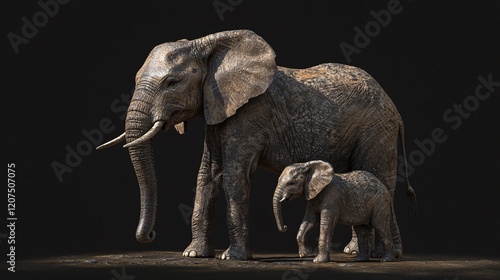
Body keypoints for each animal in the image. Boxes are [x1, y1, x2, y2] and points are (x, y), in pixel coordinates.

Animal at [96, 29, 414, 260]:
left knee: (379, 178)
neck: (210, 48)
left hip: (377, 130)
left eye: (172, 83)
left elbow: (234, 177)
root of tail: (396, 111)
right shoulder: (217, 109)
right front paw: (194, 255)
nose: (148, 236)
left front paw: (232, 258)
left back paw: (383, 255)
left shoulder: (249, 115)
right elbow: (207, 176)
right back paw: (356, 252)